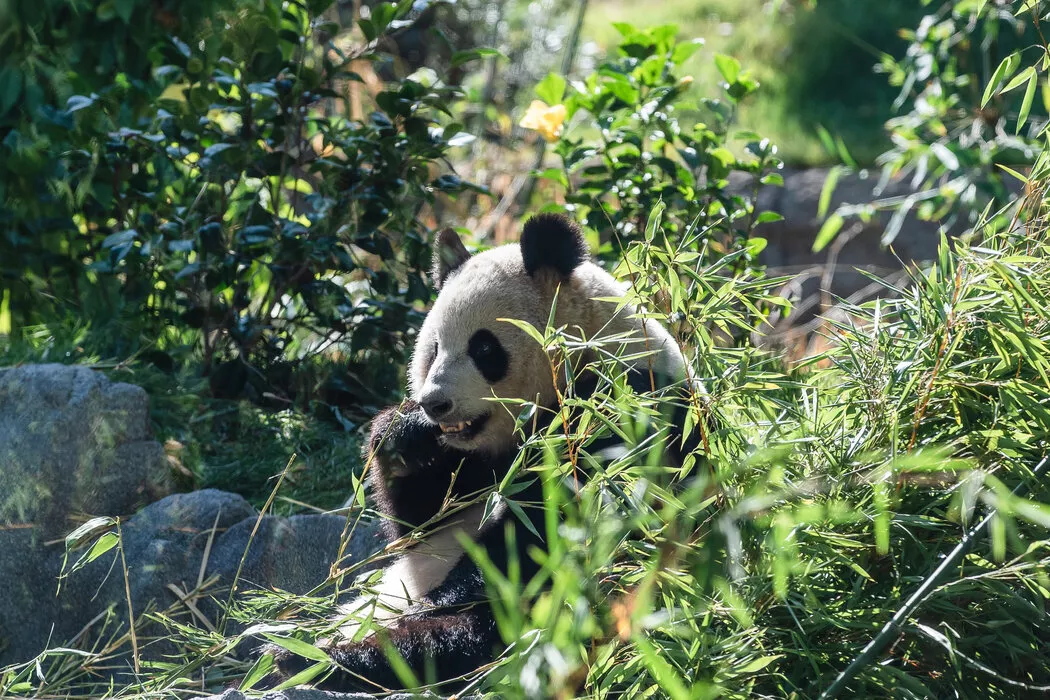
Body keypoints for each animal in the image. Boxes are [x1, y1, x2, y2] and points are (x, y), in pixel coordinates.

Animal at [270, 211, 697, 688]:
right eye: (434, 348)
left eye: (484, 348)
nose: (434, 404)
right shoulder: (470, 462)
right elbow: (420, 525)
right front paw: (403, 436)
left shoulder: (621, 414)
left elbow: (540, 535)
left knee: (466, 639)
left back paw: (326, 659)